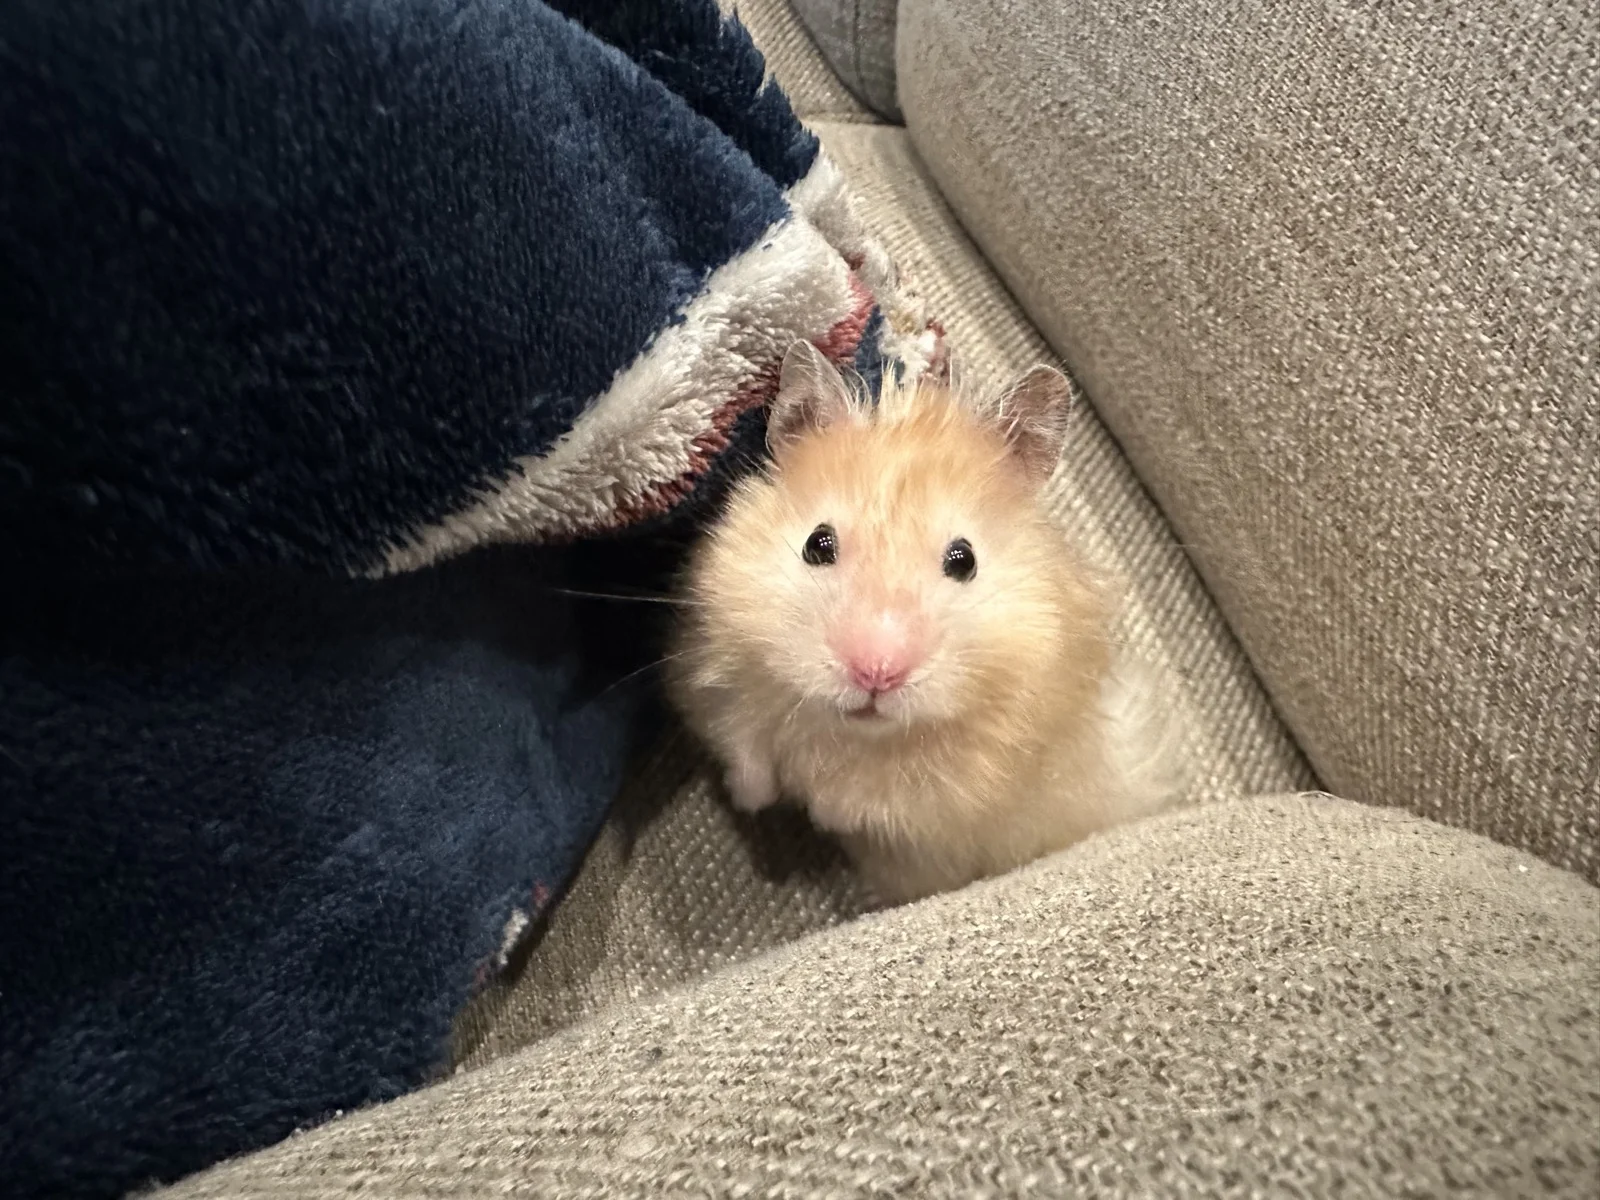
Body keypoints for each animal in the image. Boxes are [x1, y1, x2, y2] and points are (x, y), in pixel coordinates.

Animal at [666, 341, 1185, 905]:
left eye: (964, 560)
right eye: (817, 544)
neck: (852, 732)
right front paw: (753, 799)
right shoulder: (718, 672)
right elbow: (746, 744)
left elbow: (871, 799)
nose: (876, 674)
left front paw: (820, 810)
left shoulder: (961, 780)